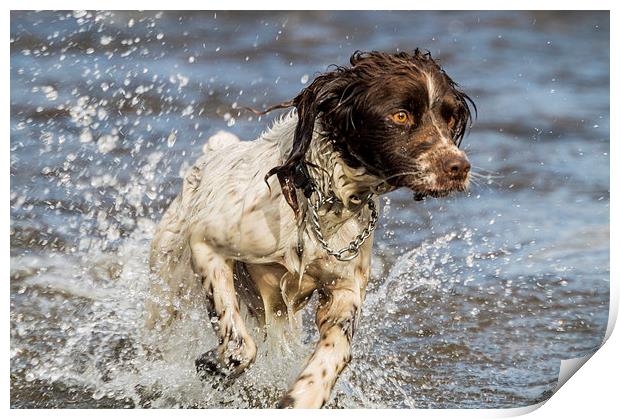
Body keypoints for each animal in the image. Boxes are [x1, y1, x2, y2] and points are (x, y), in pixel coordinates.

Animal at [149, 50, 474, 408]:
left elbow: (336, 349)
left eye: (449, 118)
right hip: (168, 285)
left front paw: (304, 395)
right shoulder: (206, 244)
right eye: (401, 116)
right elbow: (239, 345)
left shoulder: (344, 289)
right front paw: (212, 365)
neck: (320, 201)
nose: (459, 167)